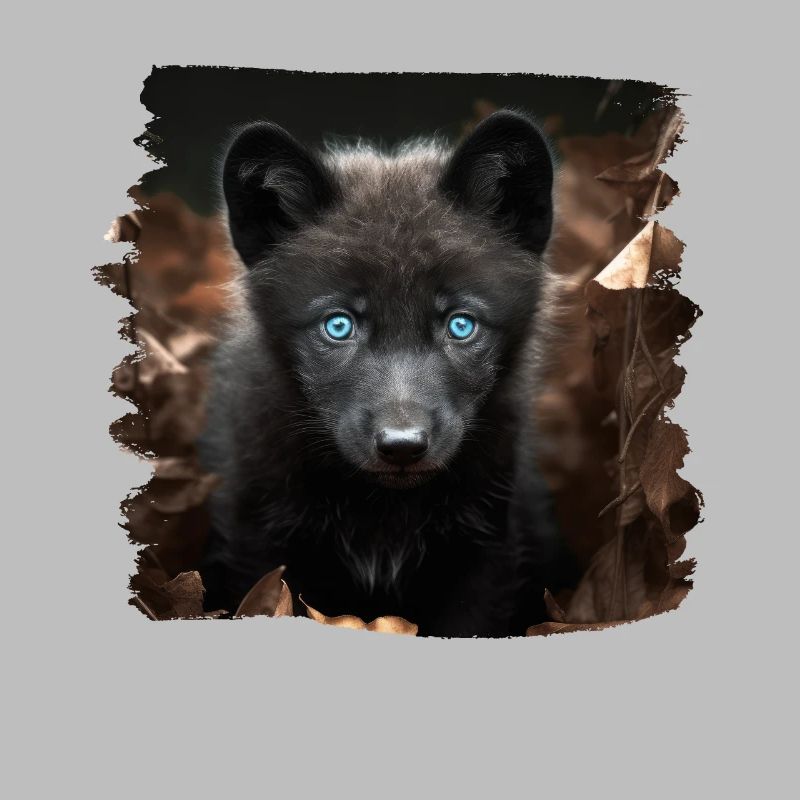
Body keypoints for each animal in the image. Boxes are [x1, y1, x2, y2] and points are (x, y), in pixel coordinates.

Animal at [199, 110, 571, 636]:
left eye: (461, 325)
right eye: (338, 325)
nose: (402, 446)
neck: (384, 516)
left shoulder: (487, 551)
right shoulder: (257, 539)